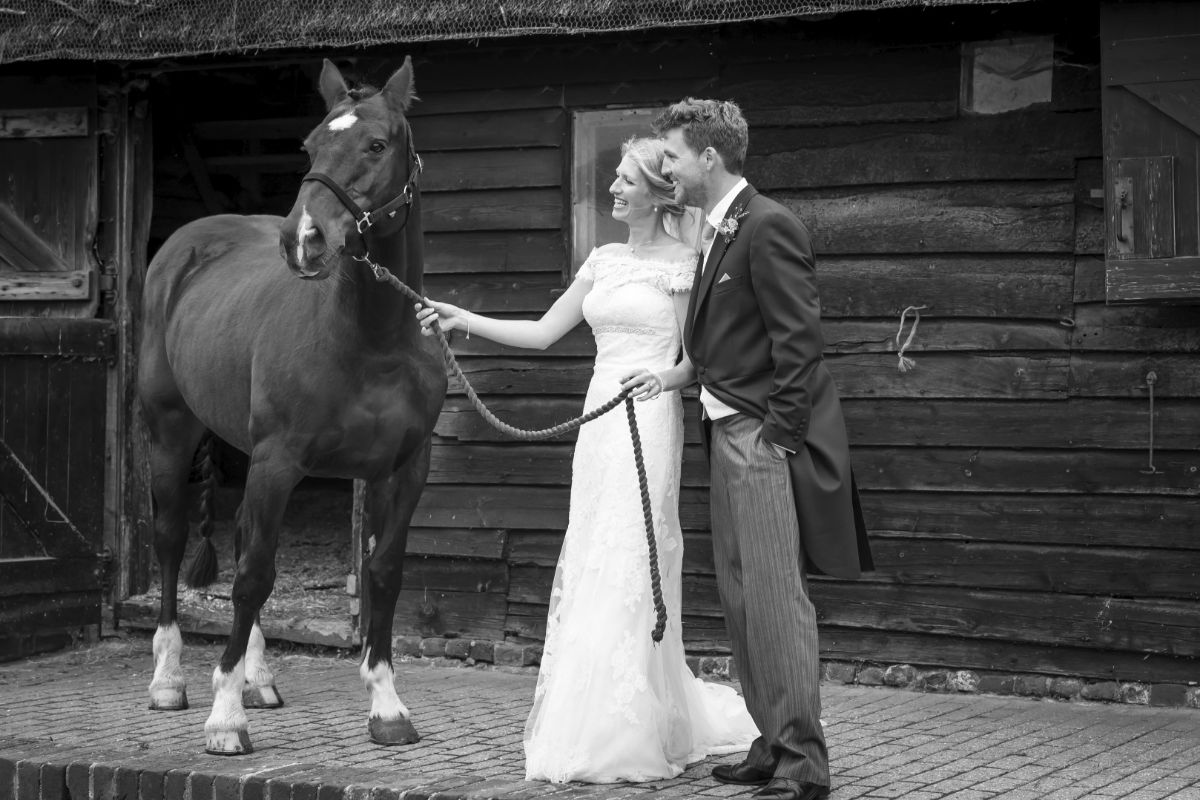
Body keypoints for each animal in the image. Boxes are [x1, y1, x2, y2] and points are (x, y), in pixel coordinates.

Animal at [138, 57, 447, 755]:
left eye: (377, 144)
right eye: (308, 146)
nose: (302, 239)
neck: (374, 338)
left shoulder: (402, 469)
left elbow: (383, 573)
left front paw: (387, 707)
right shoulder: (279, 462)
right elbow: (254, 576)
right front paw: (225, 719)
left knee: (241, 533)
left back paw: (258, 679)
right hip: (170, 432)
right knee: (171, 539)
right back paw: (170, 681)